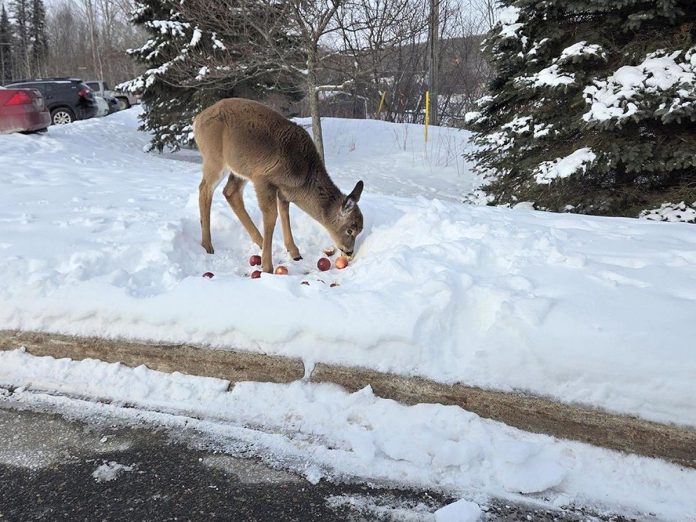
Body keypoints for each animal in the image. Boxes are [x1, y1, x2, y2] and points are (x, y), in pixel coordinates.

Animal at [192, 99, 364, 274]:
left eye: (360, 229)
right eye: (350, 229)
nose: (349, 251)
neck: (303, 176)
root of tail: (197, 120)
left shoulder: (282, 189)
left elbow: (284, 213)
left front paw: (294, 253)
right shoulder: (262, 179)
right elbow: (271, 216)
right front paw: (267, 266)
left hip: (240, 168)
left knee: (230, 192)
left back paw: (259, 242)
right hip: (214, 159)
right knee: (205, 189)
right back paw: (208, 245)